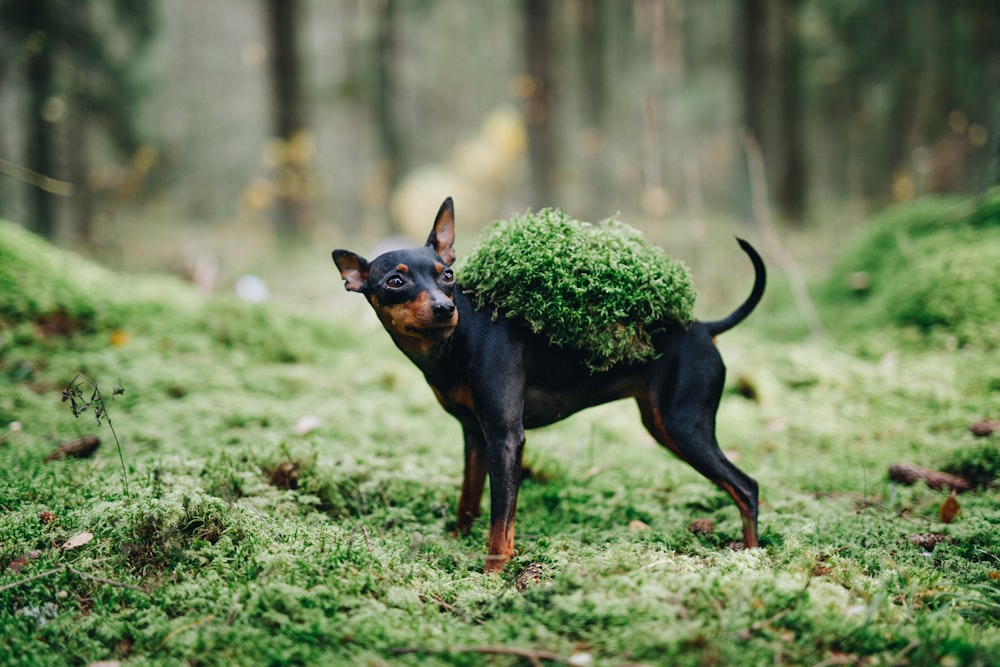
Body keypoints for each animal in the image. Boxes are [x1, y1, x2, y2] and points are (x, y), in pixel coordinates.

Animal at [334, 198, 764, 576]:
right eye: (395, 281)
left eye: (447, 275)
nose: (444, 308)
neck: (456, 341)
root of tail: (705, 328)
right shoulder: (475, 435)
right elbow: (468, 499)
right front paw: (456, 542)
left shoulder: (506, 437)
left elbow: (500, 519)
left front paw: (493, 574)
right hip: (662, 425)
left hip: (682, 426)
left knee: (747, 488)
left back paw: (753, 558)